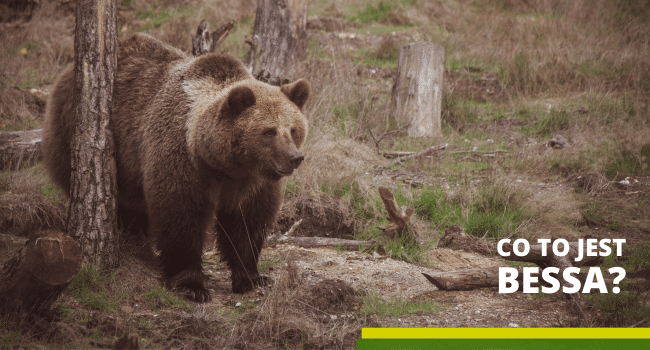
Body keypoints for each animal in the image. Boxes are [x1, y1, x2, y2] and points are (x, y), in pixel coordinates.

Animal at [43, 33, 308, 300]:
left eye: (293, 129)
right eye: (269, 131)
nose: (295, 157)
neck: (223, 165)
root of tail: (66, 73)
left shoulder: (253, 183)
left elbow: (247, 224)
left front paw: (251, 277)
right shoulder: (182, 159)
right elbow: (180, 215)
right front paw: (191, 285)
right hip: (80, 135)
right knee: (125, 202)